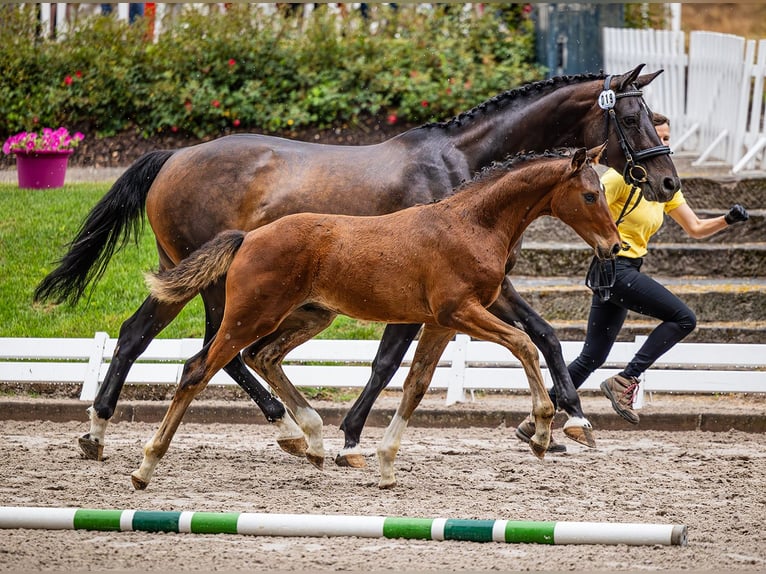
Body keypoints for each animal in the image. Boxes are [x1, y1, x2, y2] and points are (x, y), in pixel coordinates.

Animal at [132, 148, 624, 490]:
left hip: (309, 317)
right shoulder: (461, 311)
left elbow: (416, 384)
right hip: (250, 315)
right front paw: (541, 431)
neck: (471, 223)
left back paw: (312, 441)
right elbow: (524, 344)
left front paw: (386, 464)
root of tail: (247, 236)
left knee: (262, 356)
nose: (614, 246)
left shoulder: (442, 322)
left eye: (602, 192)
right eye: (589, 194)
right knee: (199, 369)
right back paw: (146, 466)